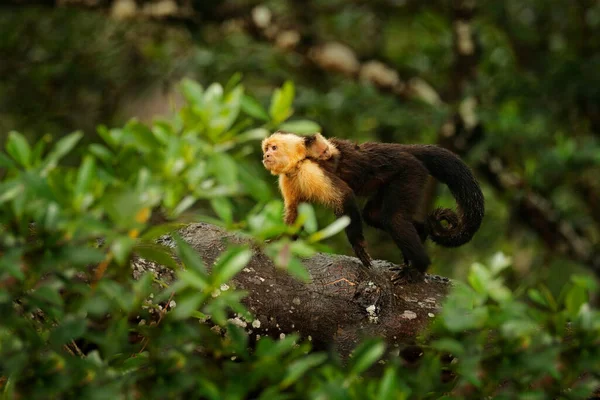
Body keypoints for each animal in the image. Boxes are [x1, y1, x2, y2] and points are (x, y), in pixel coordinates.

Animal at [260, 131, 486, 282]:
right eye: (266, 148)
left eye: (274, 148)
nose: (265, 156)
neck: (297, 164)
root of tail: (402, 149)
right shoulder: (288, 179)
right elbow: (295, 213)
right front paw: (279, 242)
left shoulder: (311, 170)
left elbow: (345, 197)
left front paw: (358, 246)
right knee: (373, 215)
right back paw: (421, 232)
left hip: (410, 172)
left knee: (394, 219)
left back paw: (418, 267)